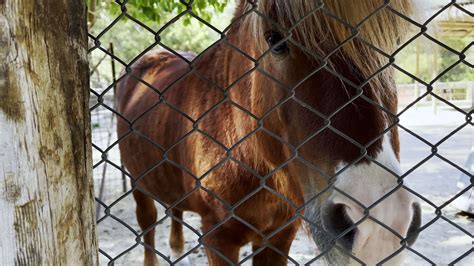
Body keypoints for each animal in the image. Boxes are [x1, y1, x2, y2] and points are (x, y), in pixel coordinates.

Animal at [117, 1, 422, 264]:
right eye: (275, 40)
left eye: (393, 43)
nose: (382, 221)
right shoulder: (218, 238)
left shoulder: (279, 236)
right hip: (137, 183)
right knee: (148, 224)